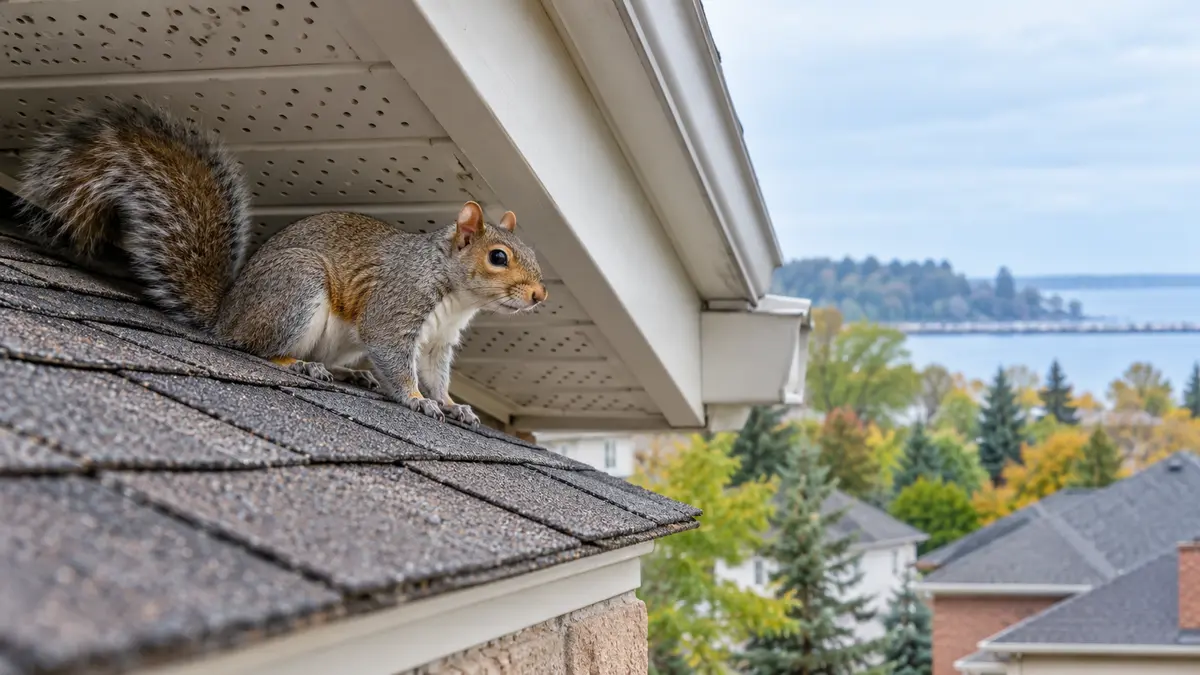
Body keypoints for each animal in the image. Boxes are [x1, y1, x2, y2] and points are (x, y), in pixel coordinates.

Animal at [17, 101, 548, 425]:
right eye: (498, 257)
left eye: (533, 254)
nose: (540, 295)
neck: (455, 294)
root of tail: (226, 315)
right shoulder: (397, 304)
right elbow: (394, 358)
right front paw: (417, 401)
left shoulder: (439, 342)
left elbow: (438, 377)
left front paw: (452, 406)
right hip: (295, 289)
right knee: (256, 349)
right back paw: (300, 365)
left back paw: (348, 374)